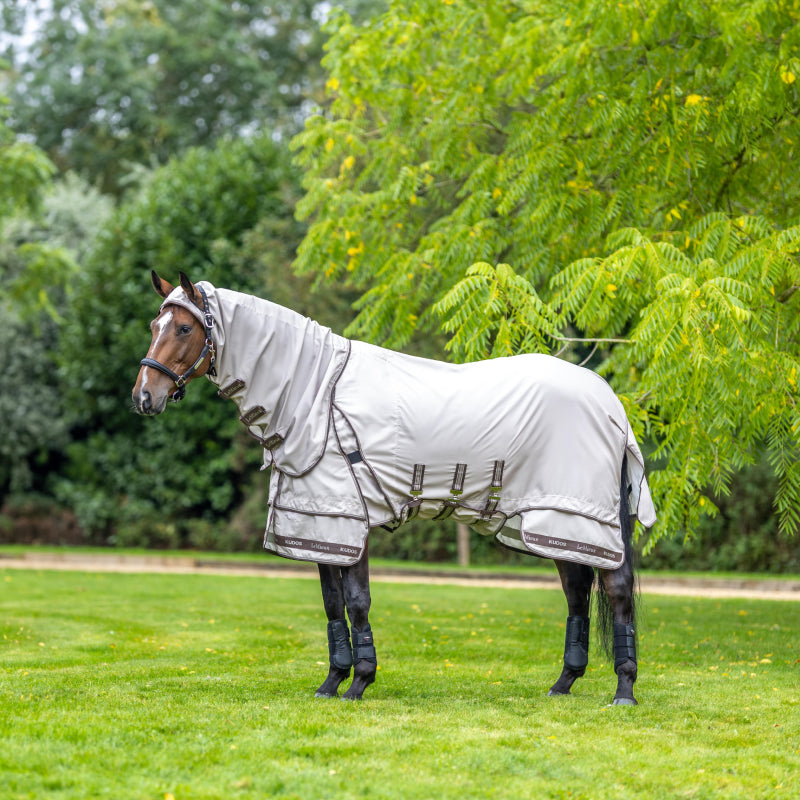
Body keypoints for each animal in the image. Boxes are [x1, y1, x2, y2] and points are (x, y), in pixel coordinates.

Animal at [132, 271, 656, 705]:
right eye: (155, 325)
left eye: (184, 329)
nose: (143, 397)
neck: (316, 394)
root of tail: (611, 403)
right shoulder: (321, 525)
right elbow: (333, 605)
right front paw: (332, 682)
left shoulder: (349, 522)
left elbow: (357, 602)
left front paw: (359, 683)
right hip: (554, 525)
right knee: (577, 593)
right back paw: (563, 683)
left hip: (582, 520)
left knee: (617, 591)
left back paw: (624, 691)